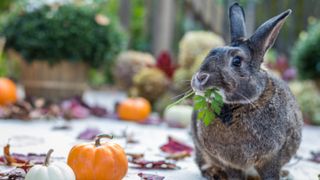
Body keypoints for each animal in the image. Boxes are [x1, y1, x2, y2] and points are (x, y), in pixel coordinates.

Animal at [190, 2, 302, 180]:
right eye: (210, 52)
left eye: (237, 61)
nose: (200, 77)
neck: (235, 106)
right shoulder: (229, 162)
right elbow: (234, 174)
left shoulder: (272, 156)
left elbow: (271, 173)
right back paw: (214, 173)